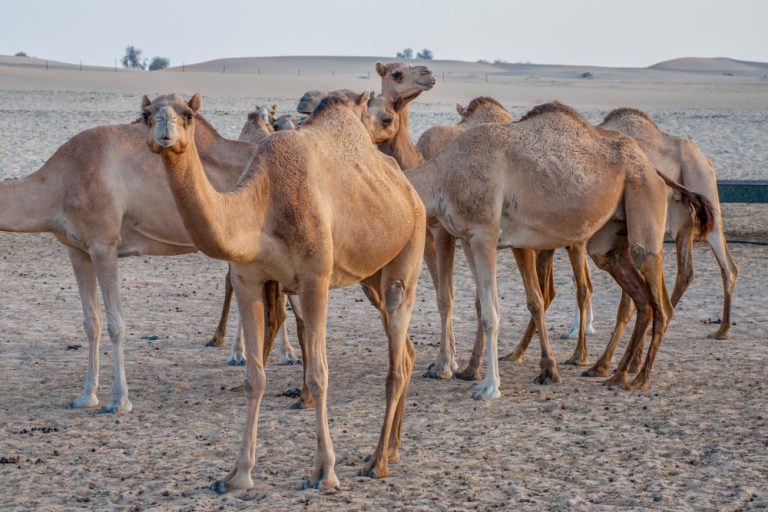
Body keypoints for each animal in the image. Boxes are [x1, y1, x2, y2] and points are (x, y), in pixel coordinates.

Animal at [0, 107, 258, 412]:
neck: (60, 181)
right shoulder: (77, 249)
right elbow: (91, 323)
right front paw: (86, 397)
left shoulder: (104, 245)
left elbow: (116, 324)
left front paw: (119, 400)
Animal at [144, 93, 426, 492]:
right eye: (146, 115)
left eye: (187, 115)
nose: (164, 131)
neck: (262, 206)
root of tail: (405, 184)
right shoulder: (249, 281)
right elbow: (254, 378)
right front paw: (238, 474)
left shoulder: (314, 279)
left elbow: (319, 375)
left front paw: (324, 472)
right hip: (371, 275)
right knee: (407, 351)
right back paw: (393, 448)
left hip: (411, 243)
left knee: (397, 350)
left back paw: (377, 462)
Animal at [402, 102, 712, 398]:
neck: (443, 176)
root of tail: (653, 169)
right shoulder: (468, 238)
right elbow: (483, 307)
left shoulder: (484, 235)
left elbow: (491, 313)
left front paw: (490, 387)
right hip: (609, 237)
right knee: (640, 297)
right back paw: (614, 374)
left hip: (644, 201)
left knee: (660, 298)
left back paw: (639, 379)